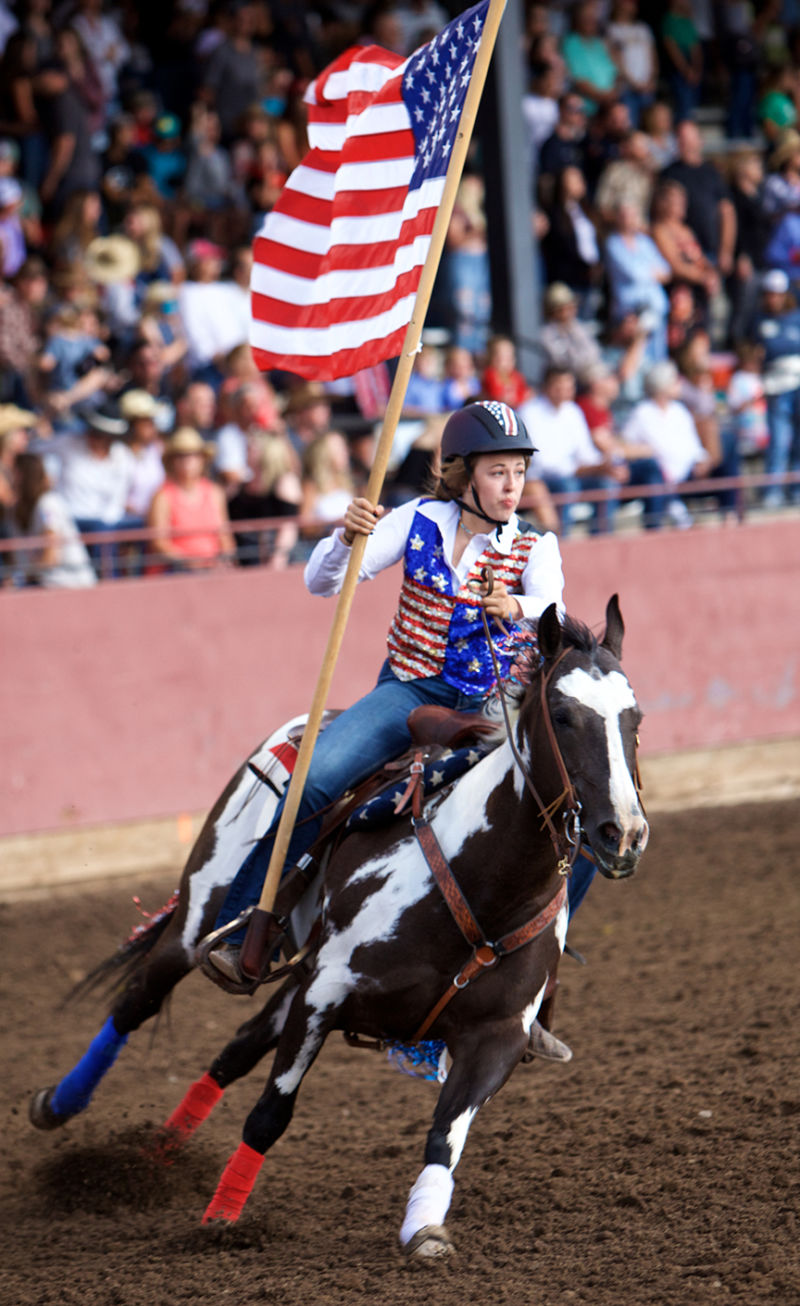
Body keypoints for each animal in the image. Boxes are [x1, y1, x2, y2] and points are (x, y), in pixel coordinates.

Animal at [29, 598, 649, 1253]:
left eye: (635, 717)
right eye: (562, 715)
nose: (623, 833)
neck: (480, 883)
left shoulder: (495, 1036)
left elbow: (445, 1134)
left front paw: (424, 1226)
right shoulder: (323, 994)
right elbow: (270, 1115)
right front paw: (221, 1220)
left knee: (236, 1047)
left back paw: (158, 1155)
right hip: (199, 920)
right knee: (139, 999)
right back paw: (60, 1104)